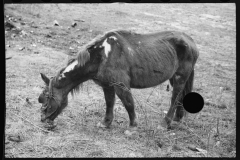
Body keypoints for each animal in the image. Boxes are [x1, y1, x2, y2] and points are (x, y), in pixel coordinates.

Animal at [38, 29, 199, 130]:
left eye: (46, 98)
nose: (43, 120)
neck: (102, 54)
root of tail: (191, 41)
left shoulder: (121, 85)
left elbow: (128, 104)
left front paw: (132, 127)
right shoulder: (107, 85)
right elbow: (109, 103)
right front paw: (106, 123)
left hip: (179, 78)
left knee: (175, 98)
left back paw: (165, 123)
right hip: (174, 78)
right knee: (180, 97)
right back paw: (177, 119)